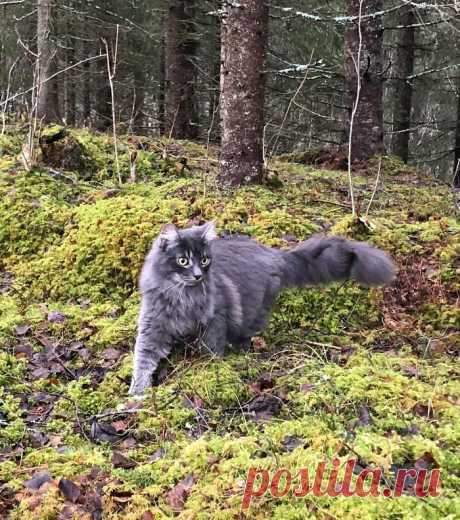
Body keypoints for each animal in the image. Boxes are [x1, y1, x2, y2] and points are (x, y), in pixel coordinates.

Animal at [128, 220, 396, 394]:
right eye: (183, 260)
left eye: (204, 260)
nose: (197, 275)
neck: (182, 296)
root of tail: (274, 254)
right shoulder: (153, 325)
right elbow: (143, 360)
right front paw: (136, 394)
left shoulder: (216, 318)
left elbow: (210, 349)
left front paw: (209, 369)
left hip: (253, 311)